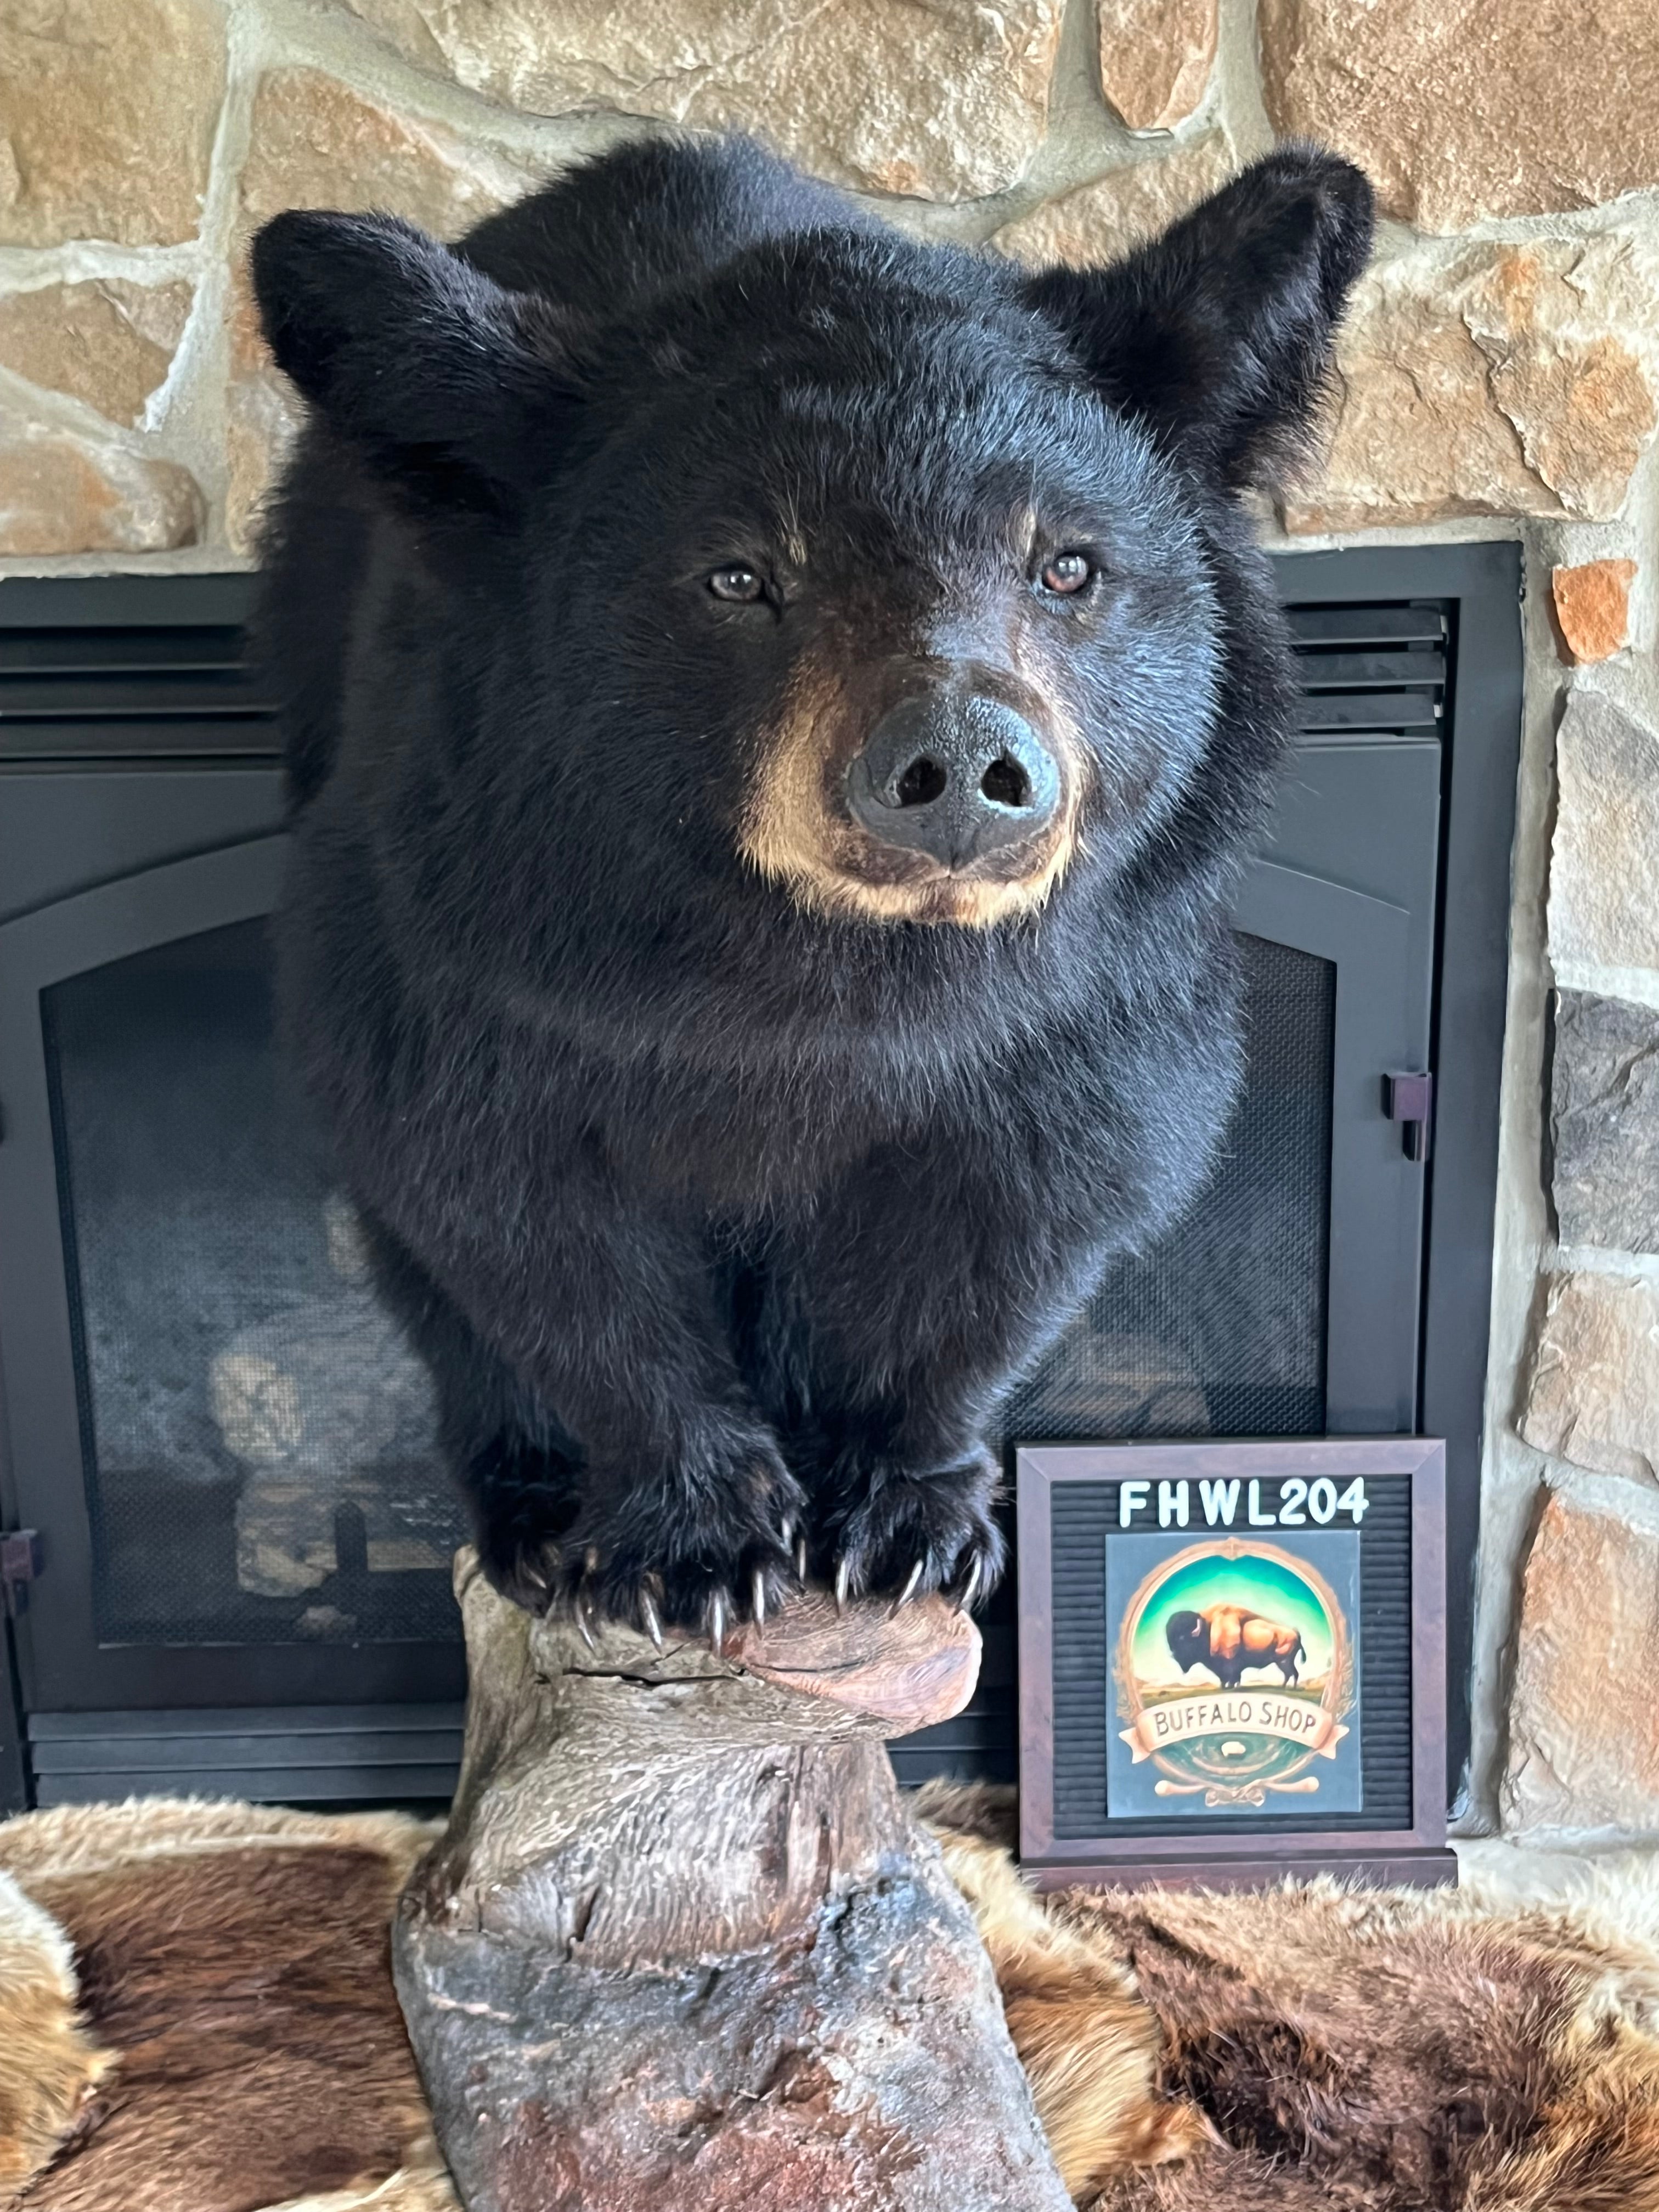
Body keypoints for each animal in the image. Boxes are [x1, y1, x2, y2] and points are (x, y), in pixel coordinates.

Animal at [249, 134, 1373, 1640]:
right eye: (738, 576)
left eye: (1068, 565)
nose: (957, 759)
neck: (827, 979)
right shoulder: (463, 949)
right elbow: (516, 1215)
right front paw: (692, 1541)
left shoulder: (1100, 999)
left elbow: (1028, 1211)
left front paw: (906, 1517)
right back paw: (532, 1512)